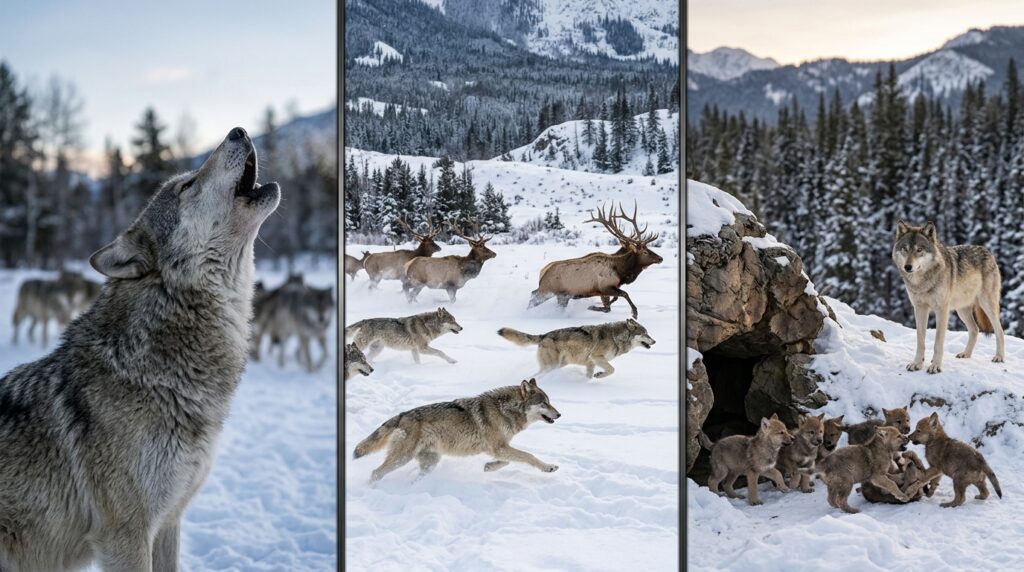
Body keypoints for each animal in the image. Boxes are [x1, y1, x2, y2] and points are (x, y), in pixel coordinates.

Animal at [353, 378, 561, 482]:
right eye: (544, 403)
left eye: (550, 402)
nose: (559, 414)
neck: (506, 409)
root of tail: (402, 415)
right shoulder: (498, 447)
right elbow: (528, 456)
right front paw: (548, 467)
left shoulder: (499, 448)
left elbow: (506, 461)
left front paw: (489, 467)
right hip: (402, 458)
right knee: (376, 473)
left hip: (429, 463)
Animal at [497, 318, 655, 379]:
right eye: (645, 334)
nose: (654, 341)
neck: (615, 337)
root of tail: (544, 335)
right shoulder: (596, 357)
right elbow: (611, 370)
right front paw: (600, 375)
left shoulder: (591, 363)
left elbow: (589, 376)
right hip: (552, 366)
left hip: (558, 365)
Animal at [893, 220, 1005, 374]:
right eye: (905, 249)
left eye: (919, 249)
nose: (908, 267)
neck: (922, 282)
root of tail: (987, 251)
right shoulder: (919, 308)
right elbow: (920, 340)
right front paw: (917, 363)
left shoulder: (941, 310)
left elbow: (938, 342)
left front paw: (935, 366)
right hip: (961, 310)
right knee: (974, 330)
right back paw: (966, 354)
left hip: (987, 305)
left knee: (999, 330)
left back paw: (999, 357)